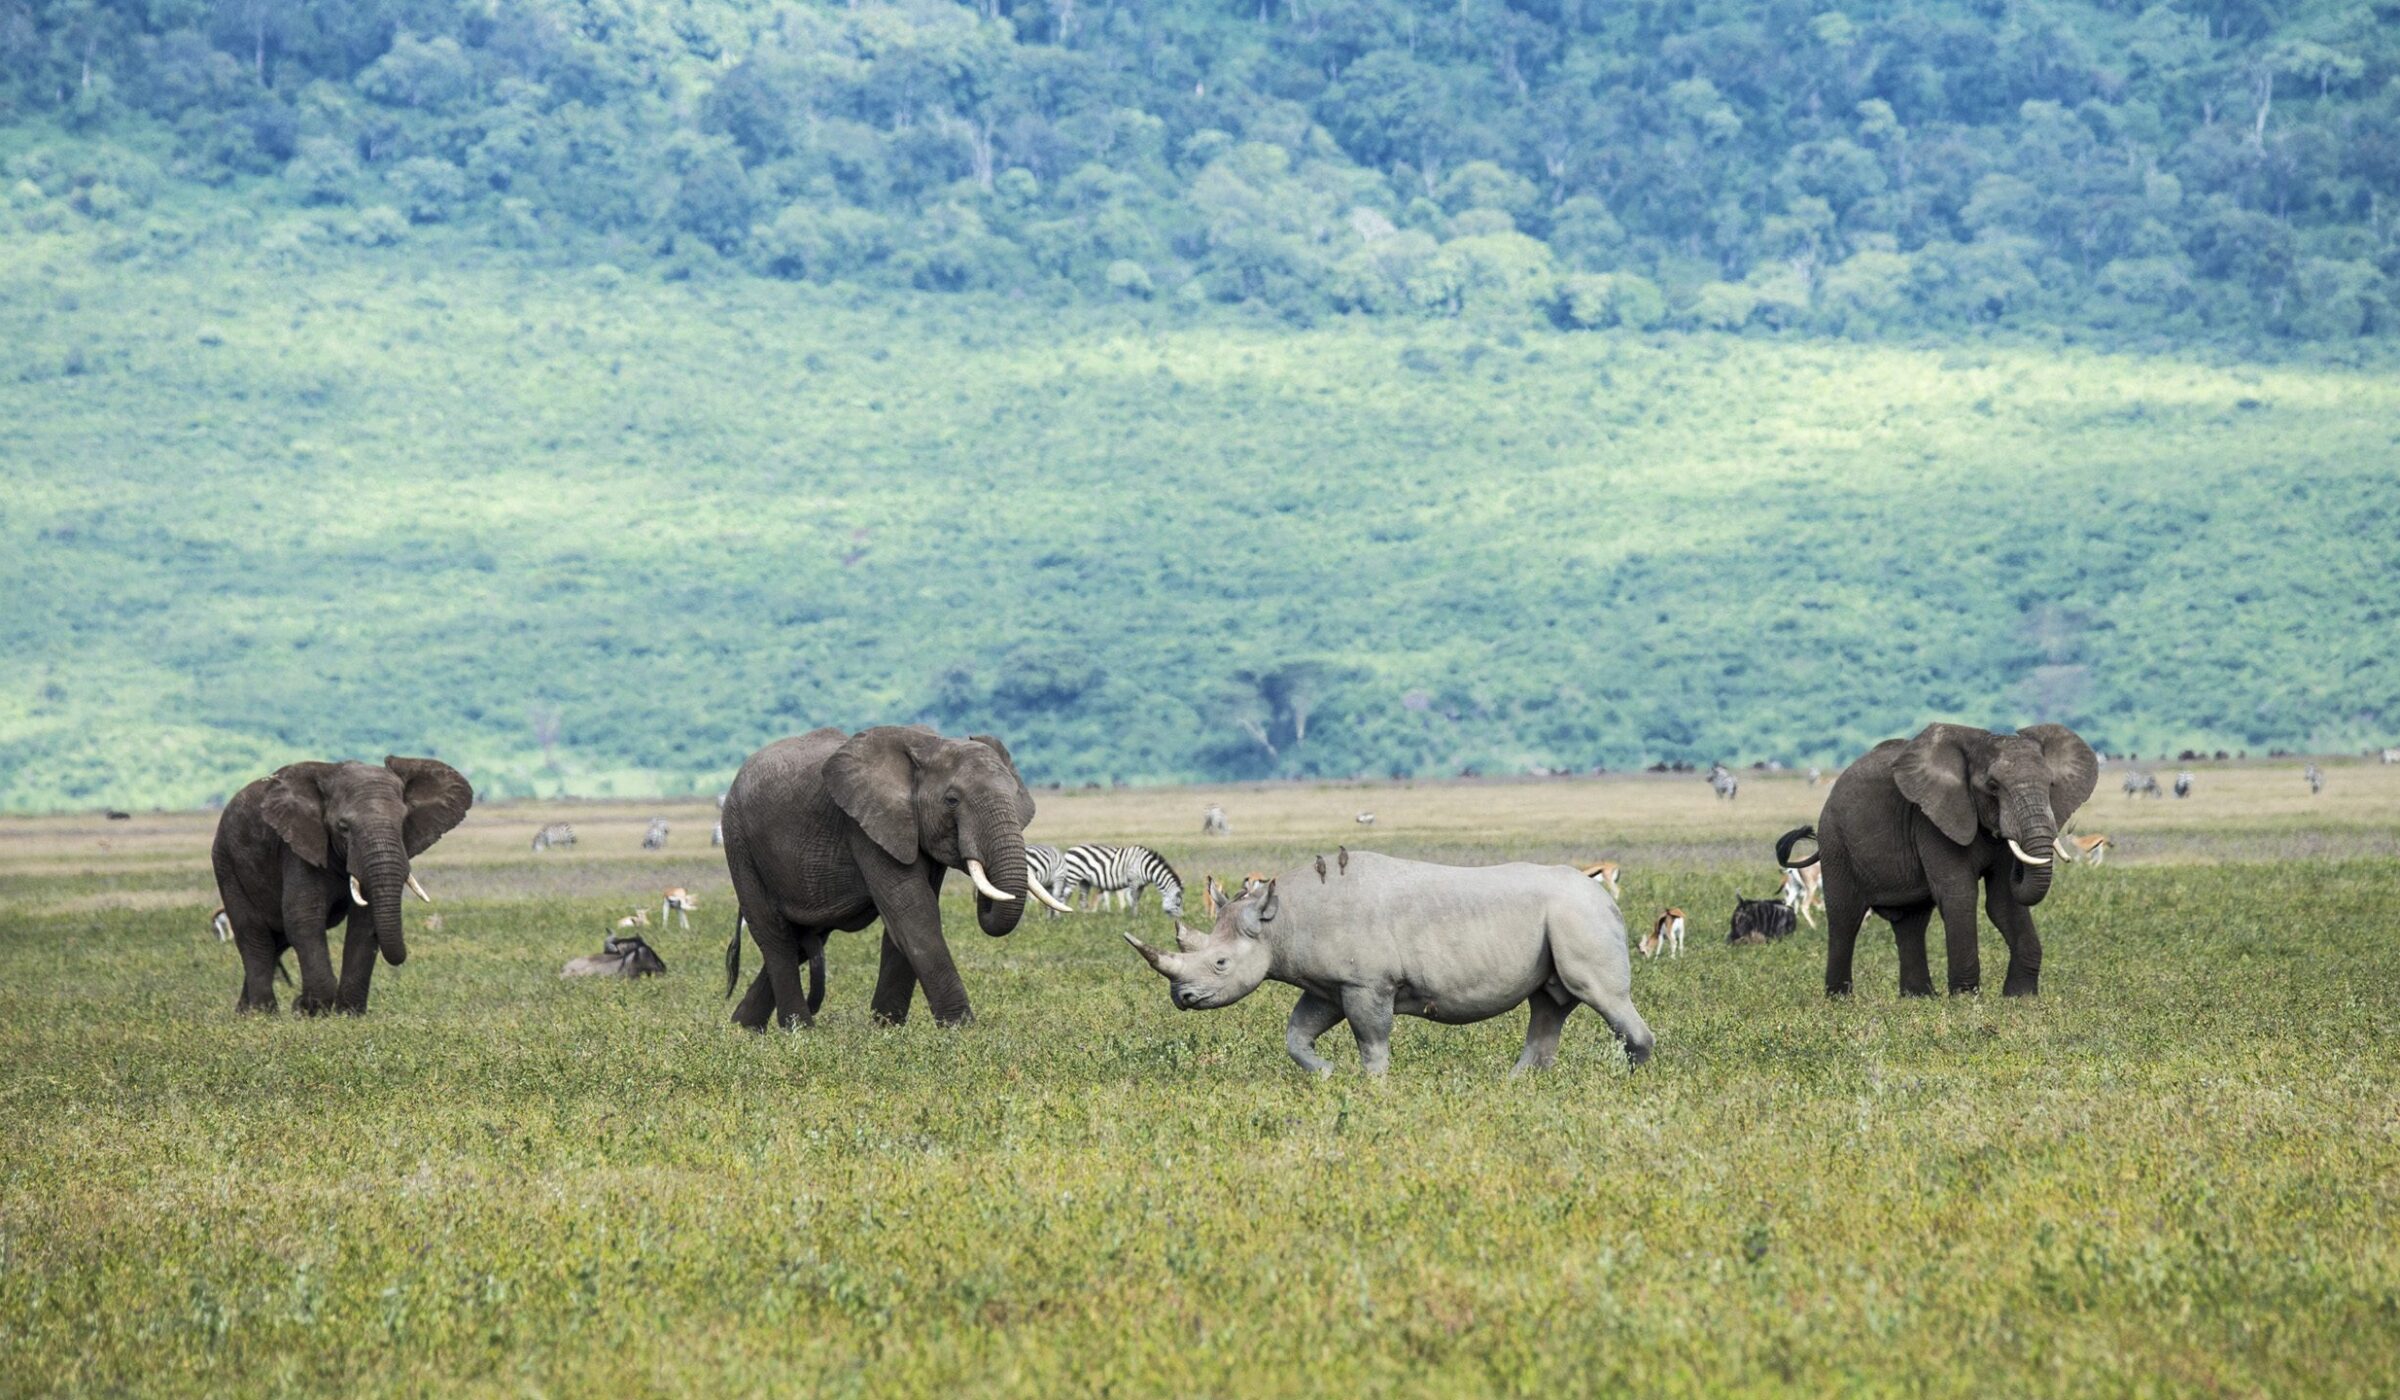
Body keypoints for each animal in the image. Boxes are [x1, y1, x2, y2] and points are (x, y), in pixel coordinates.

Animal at [209, 757, 473, 1014]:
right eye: (343, 828)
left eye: (402, 823)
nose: (297, 1001)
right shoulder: (297, 849)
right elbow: (304, 918)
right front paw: (310, 1010)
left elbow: (364, 925)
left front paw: (348, 1013)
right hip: (226, 862)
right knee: (254, 935)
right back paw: (263, 1014)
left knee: (276, 941)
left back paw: (244, 1013)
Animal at [719, 726, 1071, 1030]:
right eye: (952, 800)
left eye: (1014, 794)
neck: (931, 745)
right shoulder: (865, 825)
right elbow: (913, 914)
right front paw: (962, 1030)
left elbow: (904, 923)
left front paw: (886, 1028)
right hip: (739, 843)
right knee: (775, 937)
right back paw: (798, 1030)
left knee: (803, 940)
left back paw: (742, 1029)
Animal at [1124, 850, 1653, 1076]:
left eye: (1219, 963)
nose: (1181, 997)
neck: (1279, 923)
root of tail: (1605, 898)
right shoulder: (1328, 985)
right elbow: (1297, 1033)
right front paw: (1326, 1073)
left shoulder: (1366, 983)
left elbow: (1371, 1040)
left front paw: (1373, 1086)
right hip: (1565, 917)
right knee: (1548, 1005)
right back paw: (1518, 1084)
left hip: (1579, 915)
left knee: (1600, 995)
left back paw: (1628, 1080)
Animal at [1778, 723, 2096, 999]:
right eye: (1993, 786)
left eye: (2051, 784)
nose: (2019, 870)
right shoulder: (1931, 820)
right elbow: (1960, 895)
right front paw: (1966, 999)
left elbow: (2003, 902)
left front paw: (2020, 998)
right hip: (1836, 843)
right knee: (1845, 917)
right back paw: (1840, 1000)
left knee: (1911, 921)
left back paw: (1918, 999)